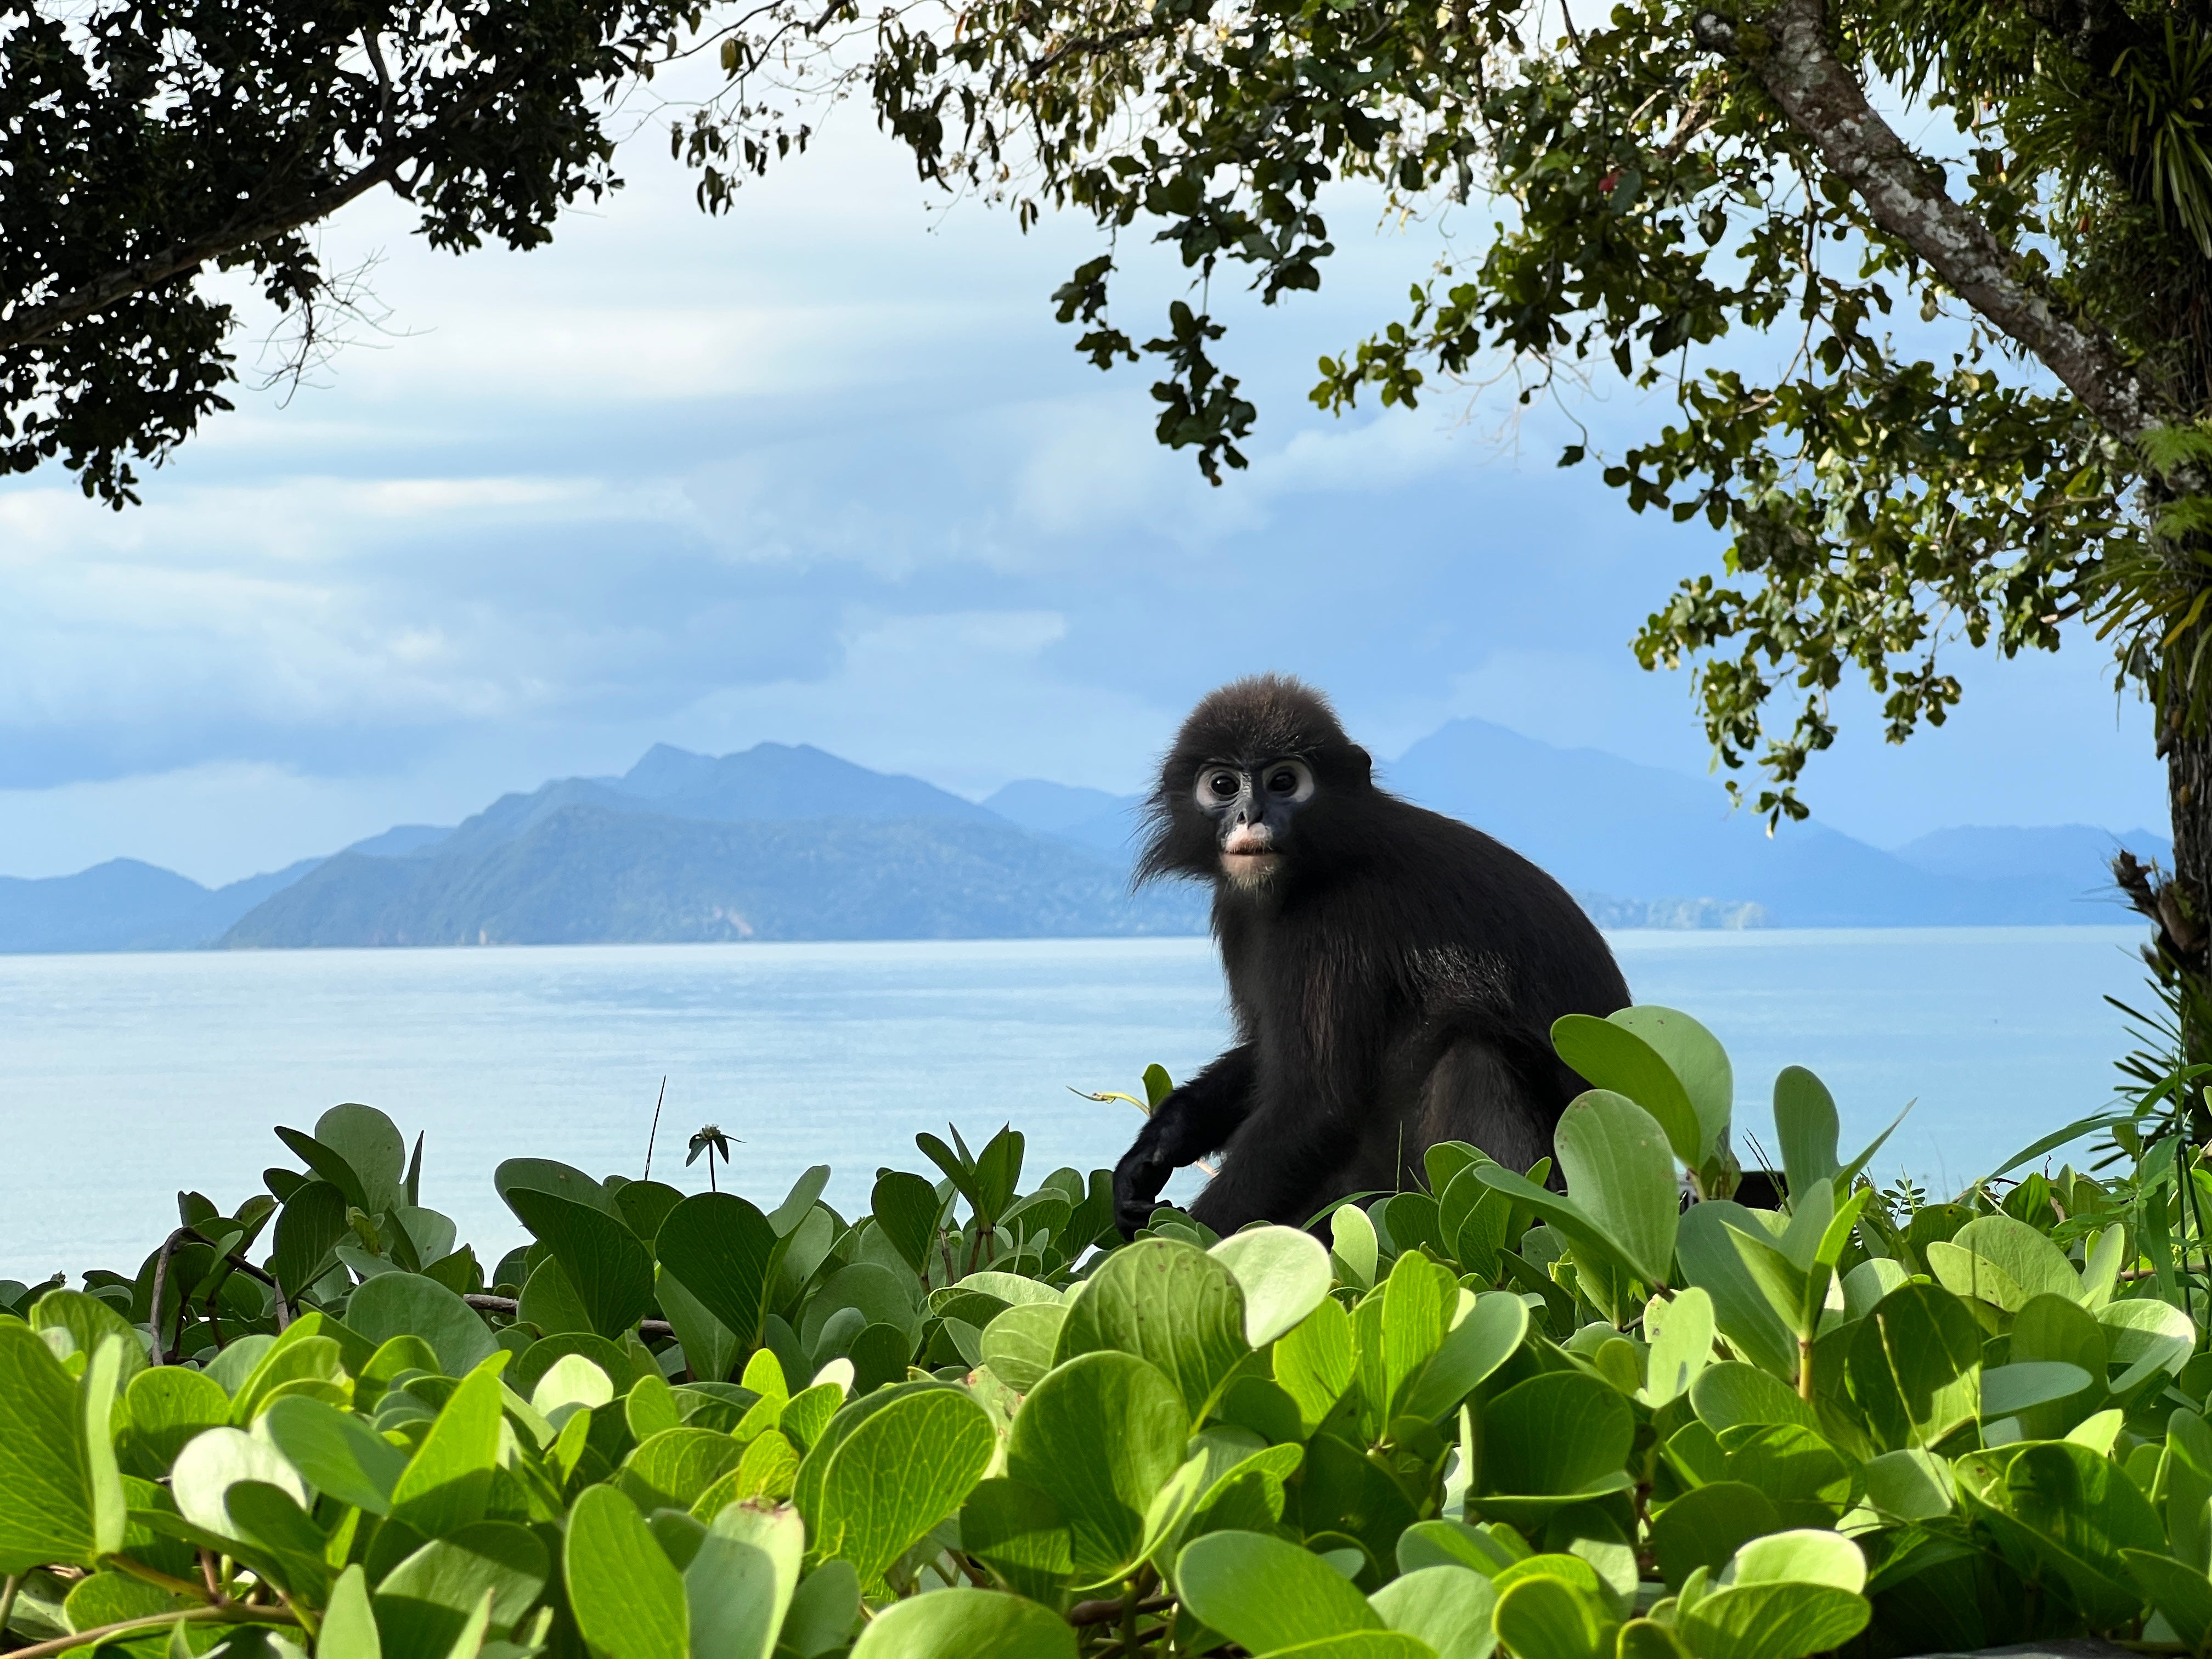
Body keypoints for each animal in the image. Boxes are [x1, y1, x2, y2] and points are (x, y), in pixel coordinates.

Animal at [1112, 675, 1632, 1238]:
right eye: (1224, 786)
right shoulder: (1237, 911)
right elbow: (1265, 1053)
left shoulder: (1336, 919)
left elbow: (1314, 1108)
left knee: (1473, 1057)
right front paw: (1160, 1142)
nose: (1252, 815)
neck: (1313, 868)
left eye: (1283, 782)